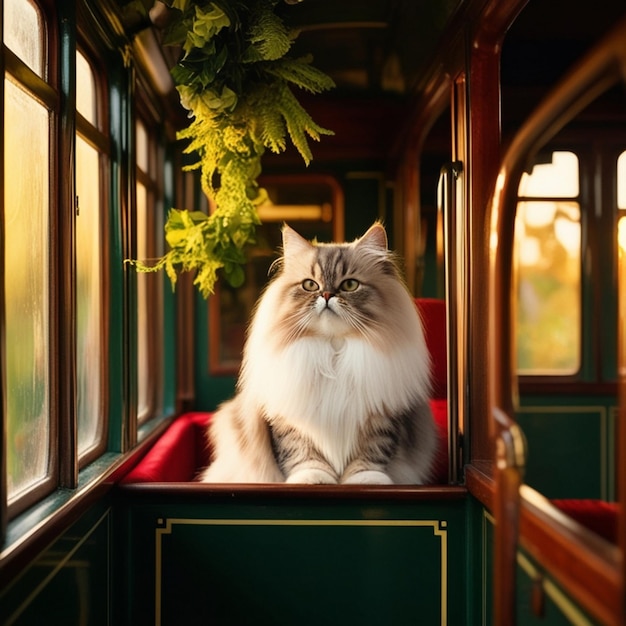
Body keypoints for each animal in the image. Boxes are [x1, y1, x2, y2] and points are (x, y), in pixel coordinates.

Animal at [199, 222, 434, 486]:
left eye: (350, 285)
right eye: (310, 285)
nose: (327, 295)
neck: (333, 349)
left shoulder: (382, 415)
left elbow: (372, 454)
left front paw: (365, 480)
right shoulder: (290, 421)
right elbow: (301, 454)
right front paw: (313, 479)